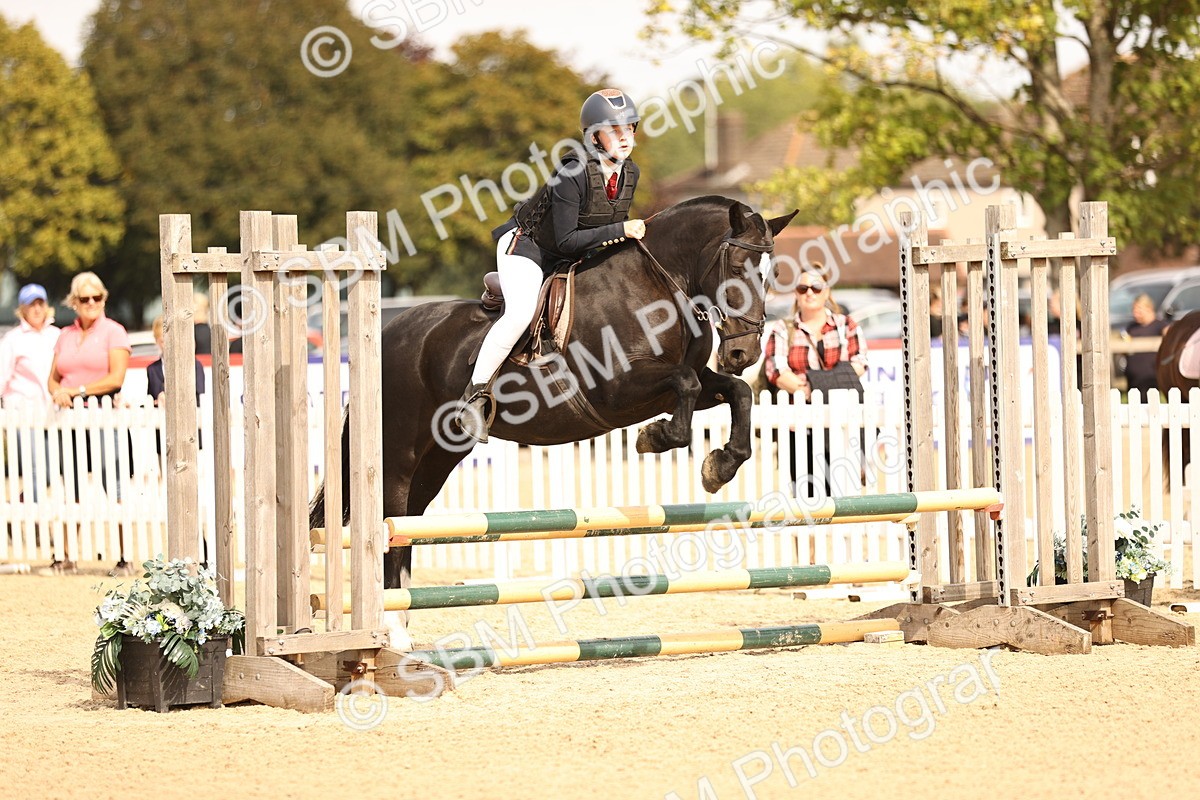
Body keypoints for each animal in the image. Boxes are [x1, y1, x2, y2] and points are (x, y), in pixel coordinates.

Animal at [311, 196, 797, 590]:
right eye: (736, 267)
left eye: (771, 274)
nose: (743, 352)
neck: (660, 288)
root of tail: (386, 335)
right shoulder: (618, 391)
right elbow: (687, 387)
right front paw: (654, 438)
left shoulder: (670, 387)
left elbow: (736, 392)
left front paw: (720, 466)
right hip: (397, 456)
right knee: (388, 524)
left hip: (440, 456)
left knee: (408, 525)